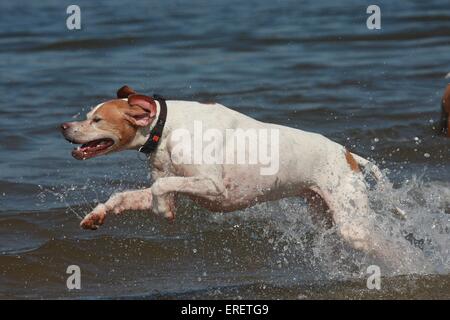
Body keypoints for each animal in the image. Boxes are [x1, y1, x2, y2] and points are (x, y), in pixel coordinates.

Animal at [61, 85, 416, 264]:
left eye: (96, 119)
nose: (63, 126)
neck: (167, 128)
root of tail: (348, 154)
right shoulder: (169, 184)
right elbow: (122, 196)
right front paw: (96, 215)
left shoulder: (213, 185)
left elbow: (163, 189)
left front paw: (164, 210)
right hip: (325, 211)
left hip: (352, 224)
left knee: (394, 249)